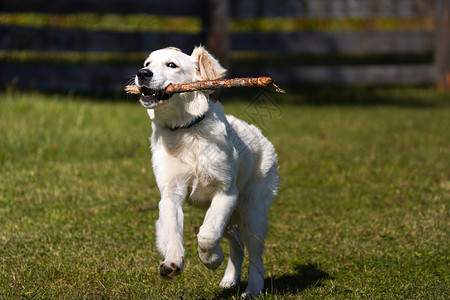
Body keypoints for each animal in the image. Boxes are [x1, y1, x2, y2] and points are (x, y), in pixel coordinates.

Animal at [135, 45, 280, 296]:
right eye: (147, 63)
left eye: (171, 65)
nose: (142, 74)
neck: (185, 130)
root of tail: (261, 136)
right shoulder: (170, 194)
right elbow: (172, 232)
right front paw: (172, 263)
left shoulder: (226, 193)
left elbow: (207, 233)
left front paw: (211, 259)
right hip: (234, 217)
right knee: (237, 244)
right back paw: (230, 280)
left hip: (252, 211)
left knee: (255, 255)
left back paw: (252, 289)